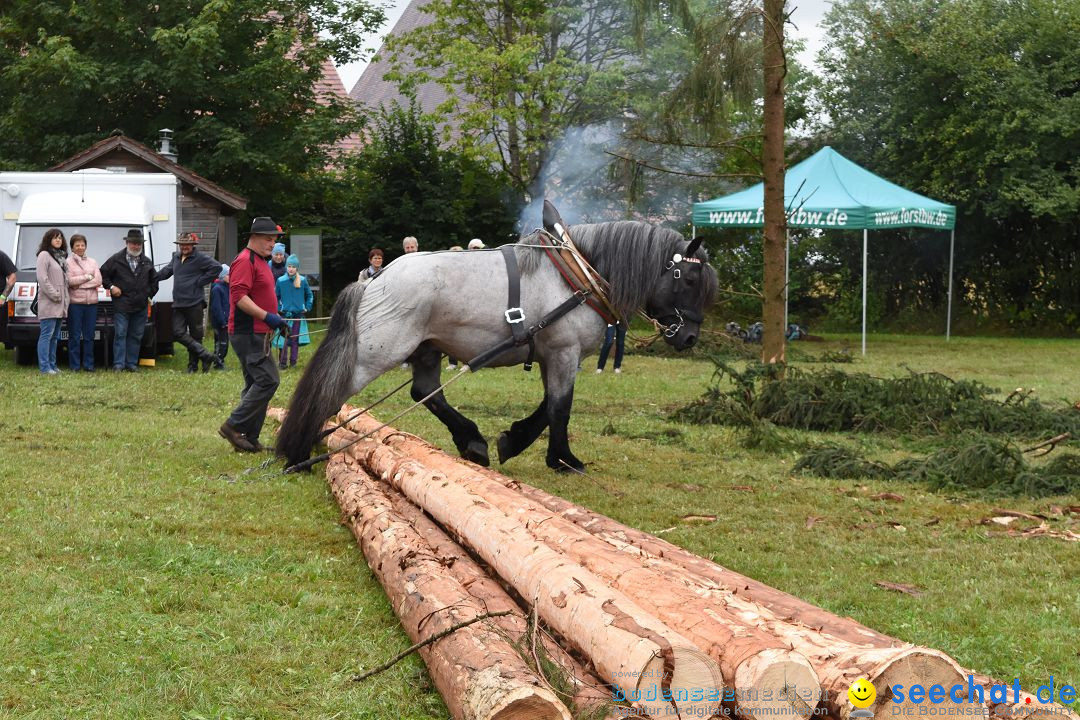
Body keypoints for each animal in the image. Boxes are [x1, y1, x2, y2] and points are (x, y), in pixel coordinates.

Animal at [278, 216, 717, 470]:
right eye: (691, 279)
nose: (690, 337)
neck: (576, 276)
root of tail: (376, 280)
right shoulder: (565, 352)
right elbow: (560, 408)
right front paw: (564, 459)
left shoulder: (551, 355)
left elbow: (547, 407)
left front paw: (514, 440)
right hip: (377, 354)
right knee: (333, 392)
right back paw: (299, 453)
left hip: (427, 349)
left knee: (426, 392)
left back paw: (472, 441)